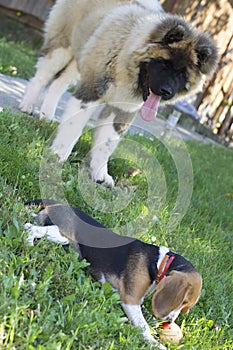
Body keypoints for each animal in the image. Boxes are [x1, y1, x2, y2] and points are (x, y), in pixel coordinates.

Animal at [19, 0, 218, 186]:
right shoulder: (91, 90)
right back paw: (28, 105)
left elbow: (107, 143)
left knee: (58, 84)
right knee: (42, 76)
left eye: (182, 74)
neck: (125, 66)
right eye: (163, 63)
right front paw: (58, 155)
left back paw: (46, 114)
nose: (166, 91)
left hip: (80, 58)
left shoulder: (123, 109)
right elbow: (73, 128)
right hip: (61, 46)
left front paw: (99, 173)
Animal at [24, 200, 202, 348]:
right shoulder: (130, 300)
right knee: (29, 228)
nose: (169, 321)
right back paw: (30, 247)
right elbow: (143, 326)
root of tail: (58, 203)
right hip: (62, 235)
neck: (158, 262)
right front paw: (155, 343)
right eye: (183, 301)